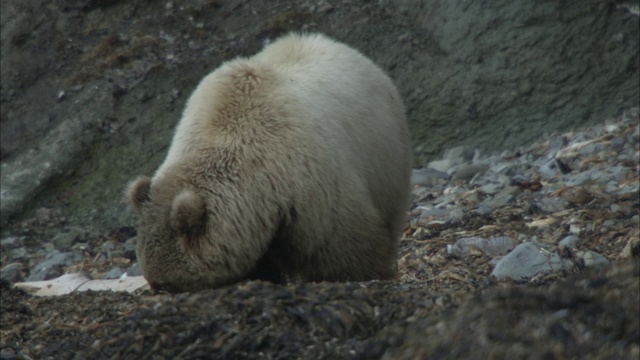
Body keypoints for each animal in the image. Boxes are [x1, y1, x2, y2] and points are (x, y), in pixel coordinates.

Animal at [127, 33, 412, 292]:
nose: (156, 288)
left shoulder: (309, 184)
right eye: (154, 280)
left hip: (385, 155)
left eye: (167, 283)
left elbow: (341, 240)